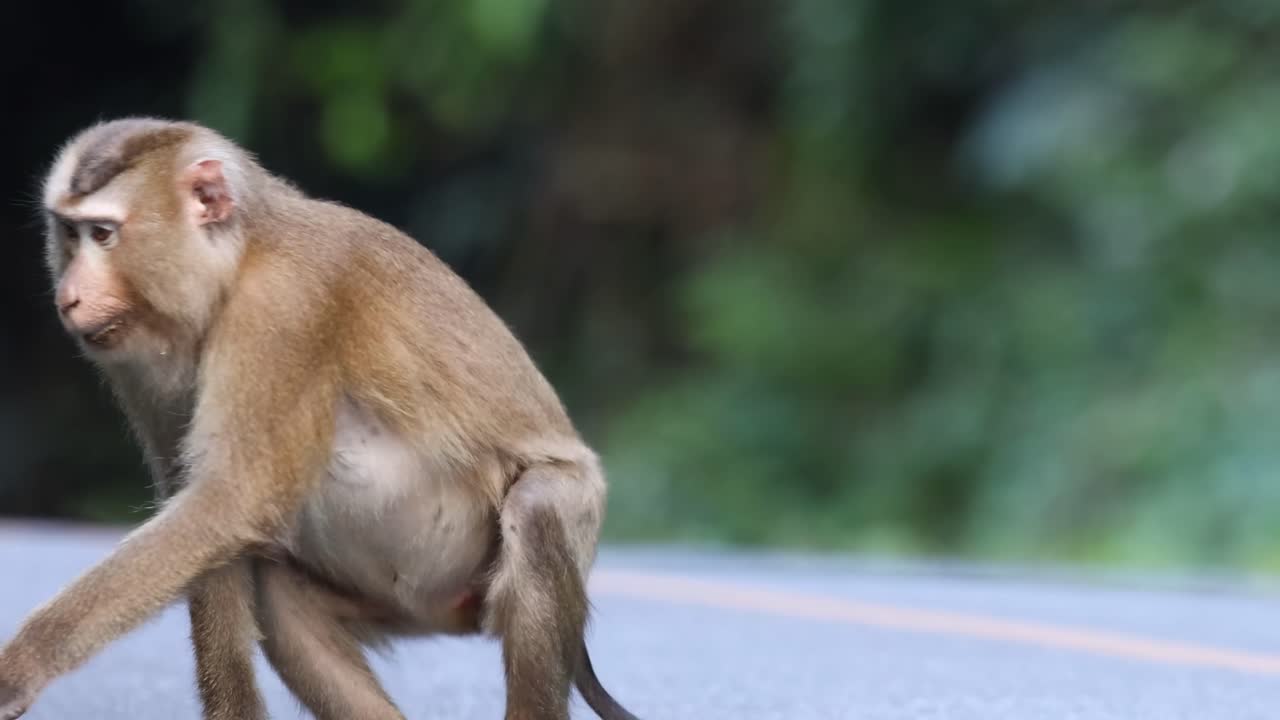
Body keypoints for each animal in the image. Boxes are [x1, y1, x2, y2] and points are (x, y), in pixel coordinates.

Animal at [0, 118, 640, 720]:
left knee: (538, 505)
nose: (69, 296)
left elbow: (232, 499)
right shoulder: (144, 362)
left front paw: (22, 664)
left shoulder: (284, 306)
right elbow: (209, 519)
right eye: (69, 233)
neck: (237, 260)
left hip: (549, 529)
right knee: (279, 593)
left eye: (103, 234)